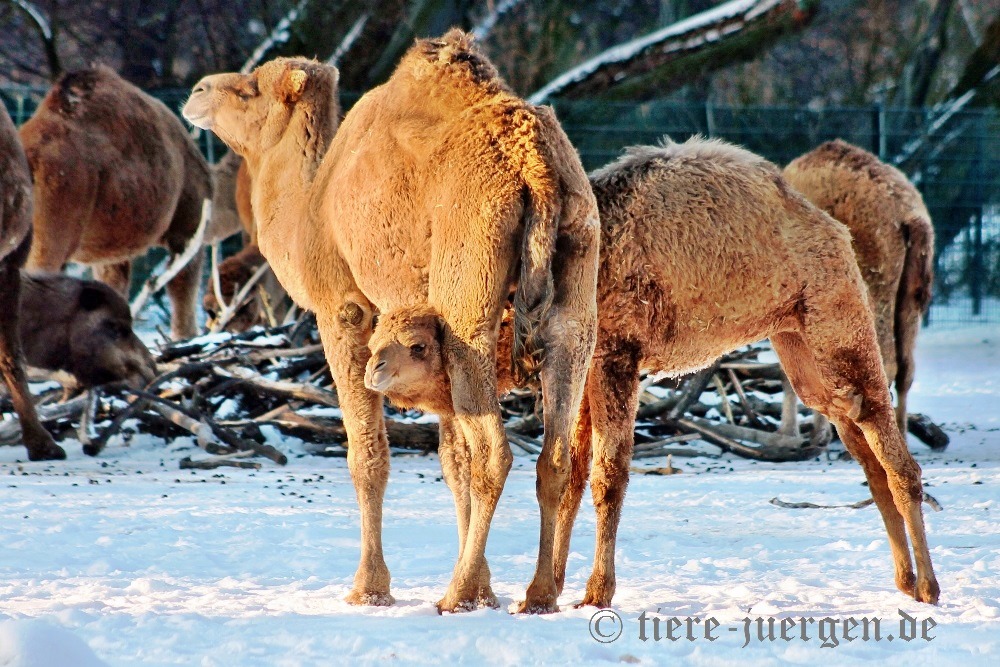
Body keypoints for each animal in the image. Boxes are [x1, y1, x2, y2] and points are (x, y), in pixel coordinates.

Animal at [184, 31, 596, 616]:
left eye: (250, 88)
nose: (197, 91)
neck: (311, 205)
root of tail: (534, 166)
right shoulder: (425, 331)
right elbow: (451, 460)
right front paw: (487, 590)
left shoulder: (345, 309)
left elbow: (368, 454)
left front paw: (371, 587)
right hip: (576, 286)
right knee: (554, 452)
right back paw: (537, 596)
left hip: (468, 291)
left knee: (495, 451)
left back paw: (454, 595)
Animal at [780, 138, 936, 436]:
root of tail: (910, 216)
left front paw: (790, 433)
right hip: (911, 294)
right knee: (906, 368)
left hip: (873, 286)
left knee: (885, 365)